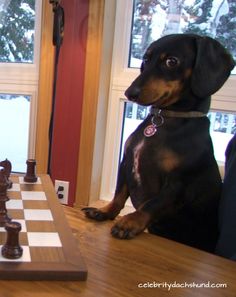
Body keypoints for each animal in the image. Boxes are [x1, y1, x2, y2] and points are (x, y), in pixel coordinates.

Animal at [82, 34, 235, 252]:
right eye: (146, 59)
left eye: (171, 61)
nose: (130, 93)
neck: (164, 119)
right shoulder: (126, 162)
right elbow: (120, 193)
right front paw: (105, 211)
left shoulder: (178, 183)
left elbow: (153, 204)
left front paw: (130, 222)